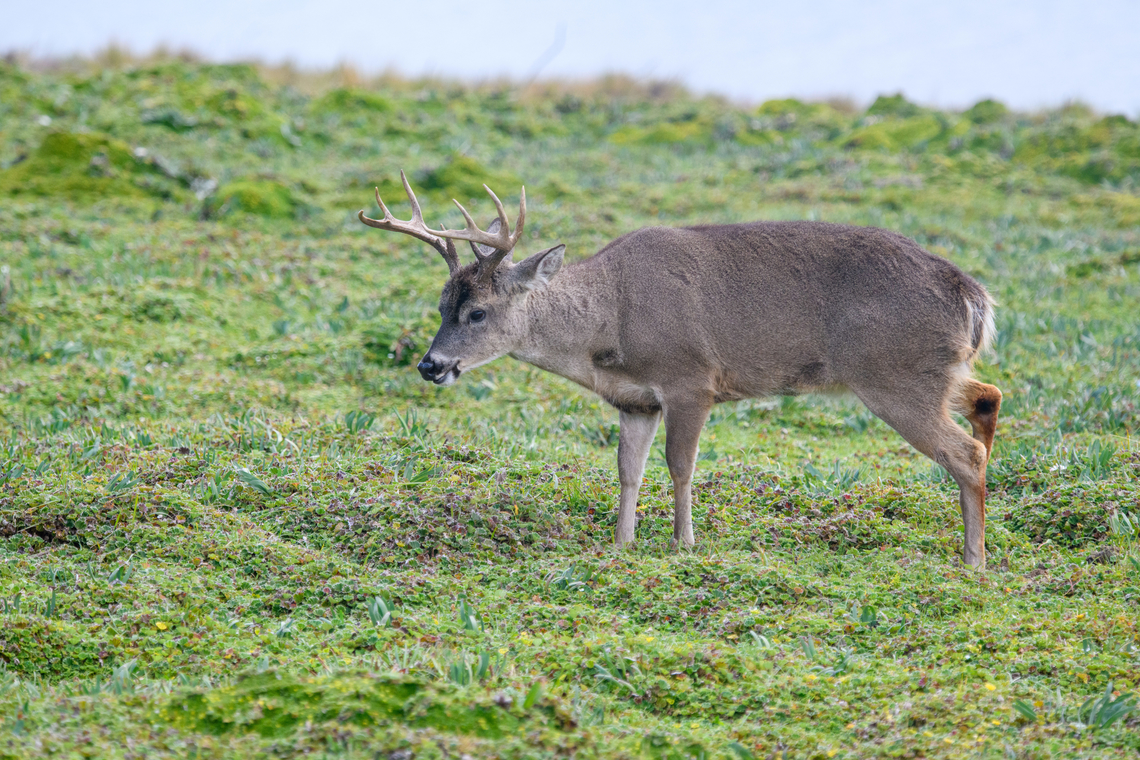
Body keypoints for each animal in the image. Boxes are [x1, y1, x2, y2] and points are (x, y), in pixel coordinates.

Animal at [359, 173, 1003, 569]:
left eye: (478, 312)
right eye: (440, 306)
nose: (431, 365)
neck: (609, 321)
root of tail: (972, 295)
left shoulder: (692, 379)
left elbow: (680, 466)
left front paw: (683, 543)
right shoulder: (635, 398)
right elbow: (628, 470)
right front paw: (621, 543)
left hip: (895, 375)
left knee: (965, 451)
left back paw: (974, 560)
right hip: (935, 371)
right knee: (987, 397)